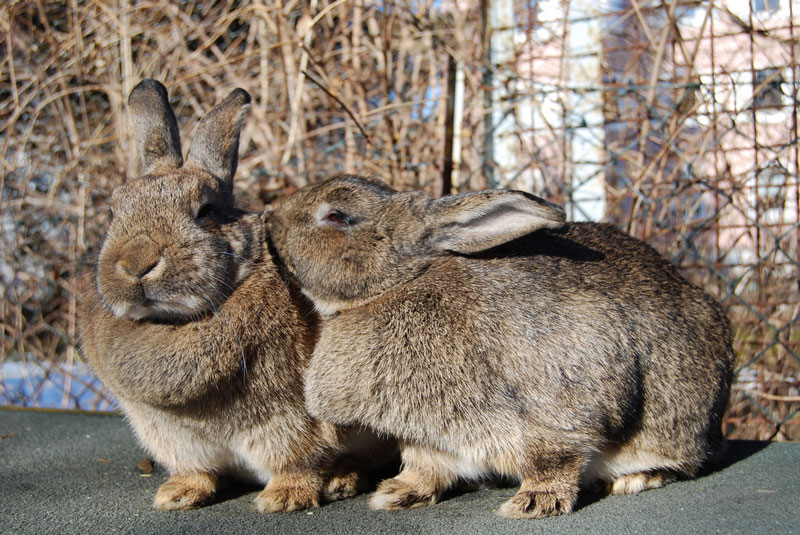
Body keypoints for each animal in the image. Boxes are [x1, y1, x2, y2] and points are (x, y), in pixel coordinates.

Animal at [79, 80, 384, 516]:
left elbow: (302, 460)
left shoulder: (292, 423)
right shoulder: (174, 438)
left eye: (205, 211)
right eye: (112, 211)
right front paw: (177, 494)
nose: (136, 264)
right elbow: (197, 471)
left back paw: (343, 480)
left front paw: (284, 498)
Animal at [266, 175, 736, 520]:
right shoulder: (428, 437)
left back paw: (630, 480)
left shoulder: (560, 405)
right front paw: (397, 494)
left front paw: (533, 503)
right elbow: (424, 466)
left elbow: (555, 458)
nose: (270, 220)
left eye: (337, 216)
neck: (398, 284)